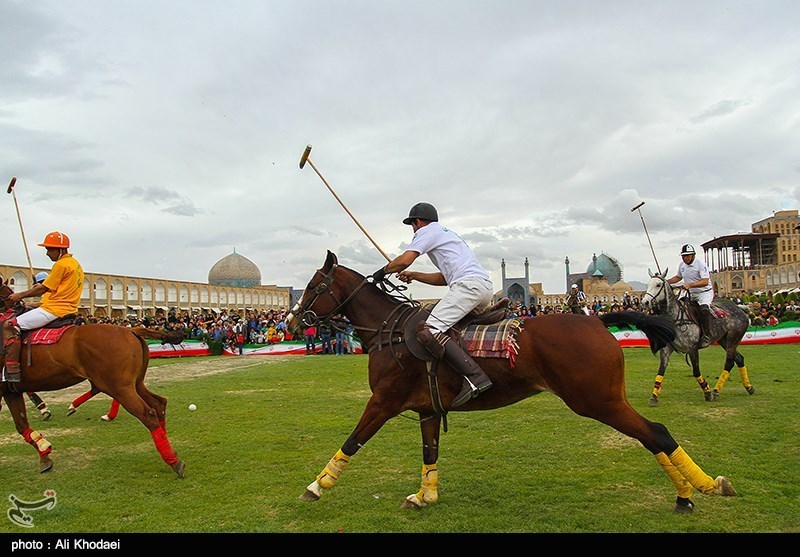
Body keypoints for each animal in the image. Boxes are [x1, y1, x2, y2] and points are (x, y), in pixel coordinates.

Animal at [0, 280, 184, 476]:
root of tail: (131, 330)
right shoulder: (11, 390)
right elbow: (21, 425)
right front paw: (45, 455)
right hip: (134, 383)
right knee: (159, 403)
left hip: (118, 385)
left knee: (147, 413)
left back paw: (173, 461)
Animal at [288, 252, 736, 512]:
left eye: (313, 286)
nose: (292, 321)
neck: (389, 330)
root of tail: (596, 319)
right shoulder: (427, 408)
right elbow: (430, 452)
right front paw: (425, 495)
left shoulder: (383, 401)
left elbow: (352, 441)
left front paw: (316, 485)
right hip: (603, 399)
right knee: (652, 435)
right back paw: (690, 492)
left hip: (596, 400)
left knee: (655, 433)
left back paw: (702, 489)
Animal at [636, 270, 756, 404]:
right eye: (647, 285)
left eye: (658, 285)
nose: (644, 302)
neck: (676, 317)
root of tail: (739, 308)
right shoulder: (666, 349)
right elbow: (661, 370)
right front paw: (654, 396)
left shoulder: (692, 348)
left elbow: (696, 371)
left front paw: (707, 392)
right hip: (723, 339)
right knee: (739, 359)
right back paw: (749, 387)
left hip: (733, 338)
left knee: (729, 362)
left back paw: (716, 390)